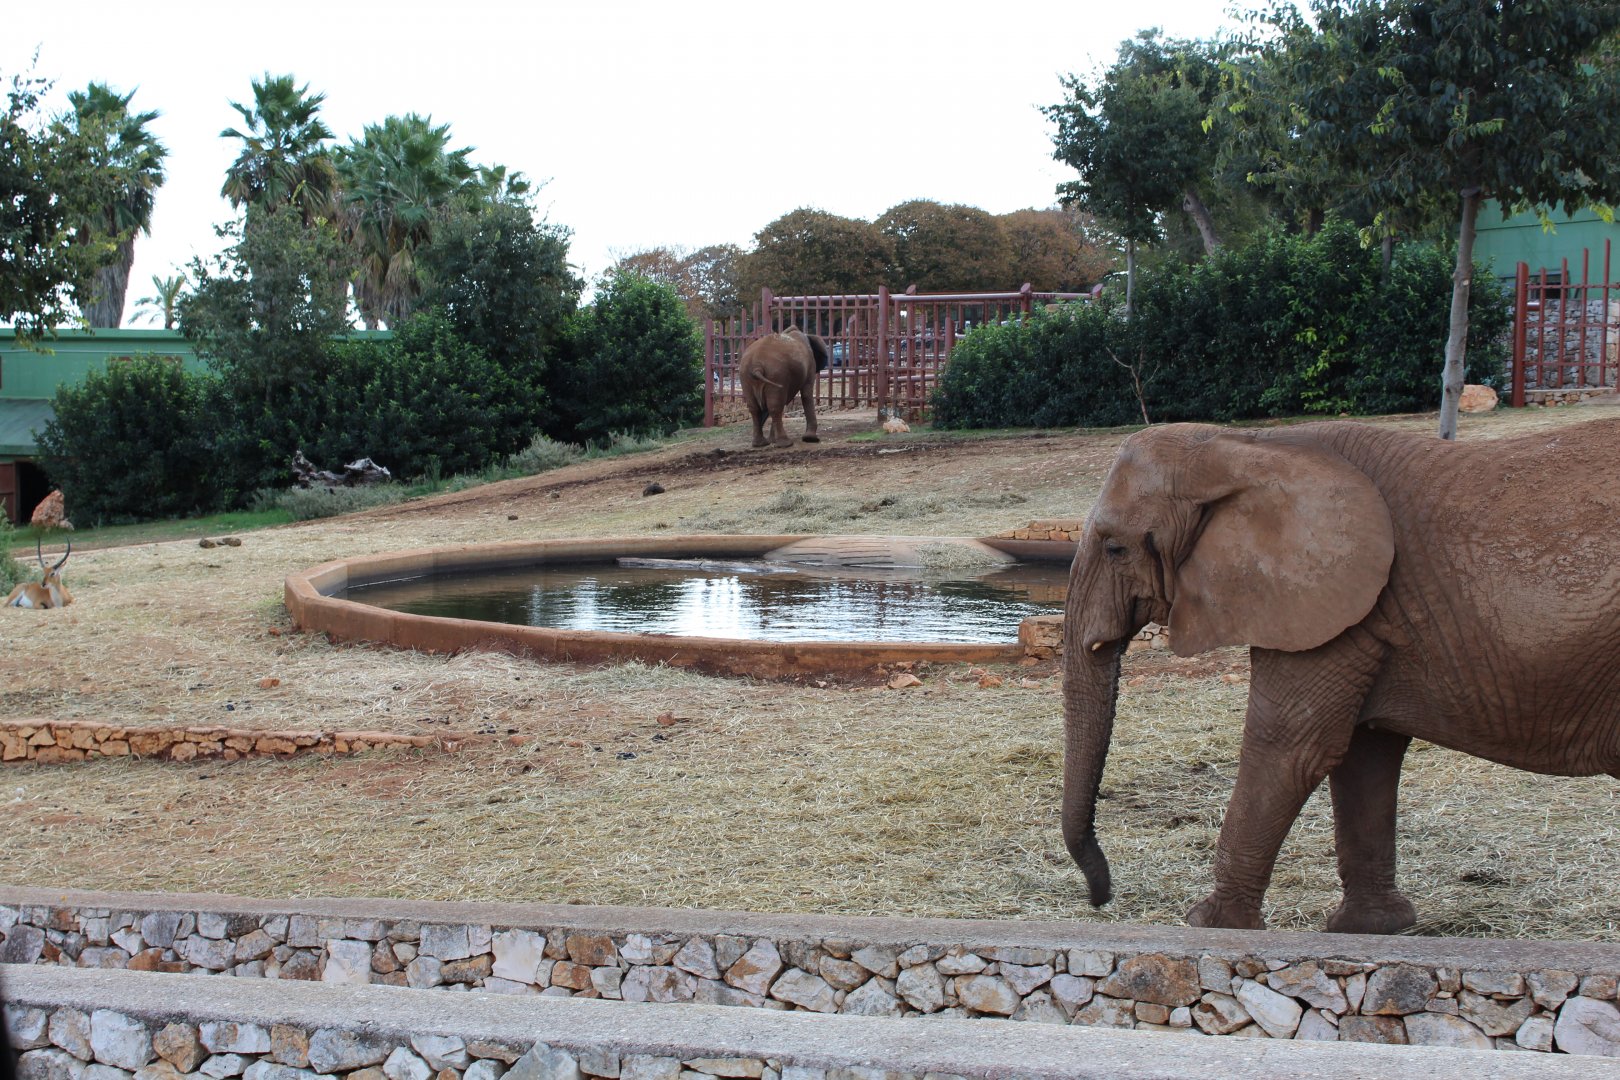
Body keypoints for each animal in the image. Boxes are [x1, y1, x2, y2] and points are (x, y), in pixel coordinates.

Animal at [1061, 419, 1620, 934]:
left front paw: (1212, 926)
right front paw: (1371, 929)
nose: (1100, 898)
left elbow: (1289, 747)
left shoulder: (1331, 605)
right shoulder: (1363, 615)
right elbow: (1362, 754)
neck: (1246, 444)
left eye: (1115, 549)